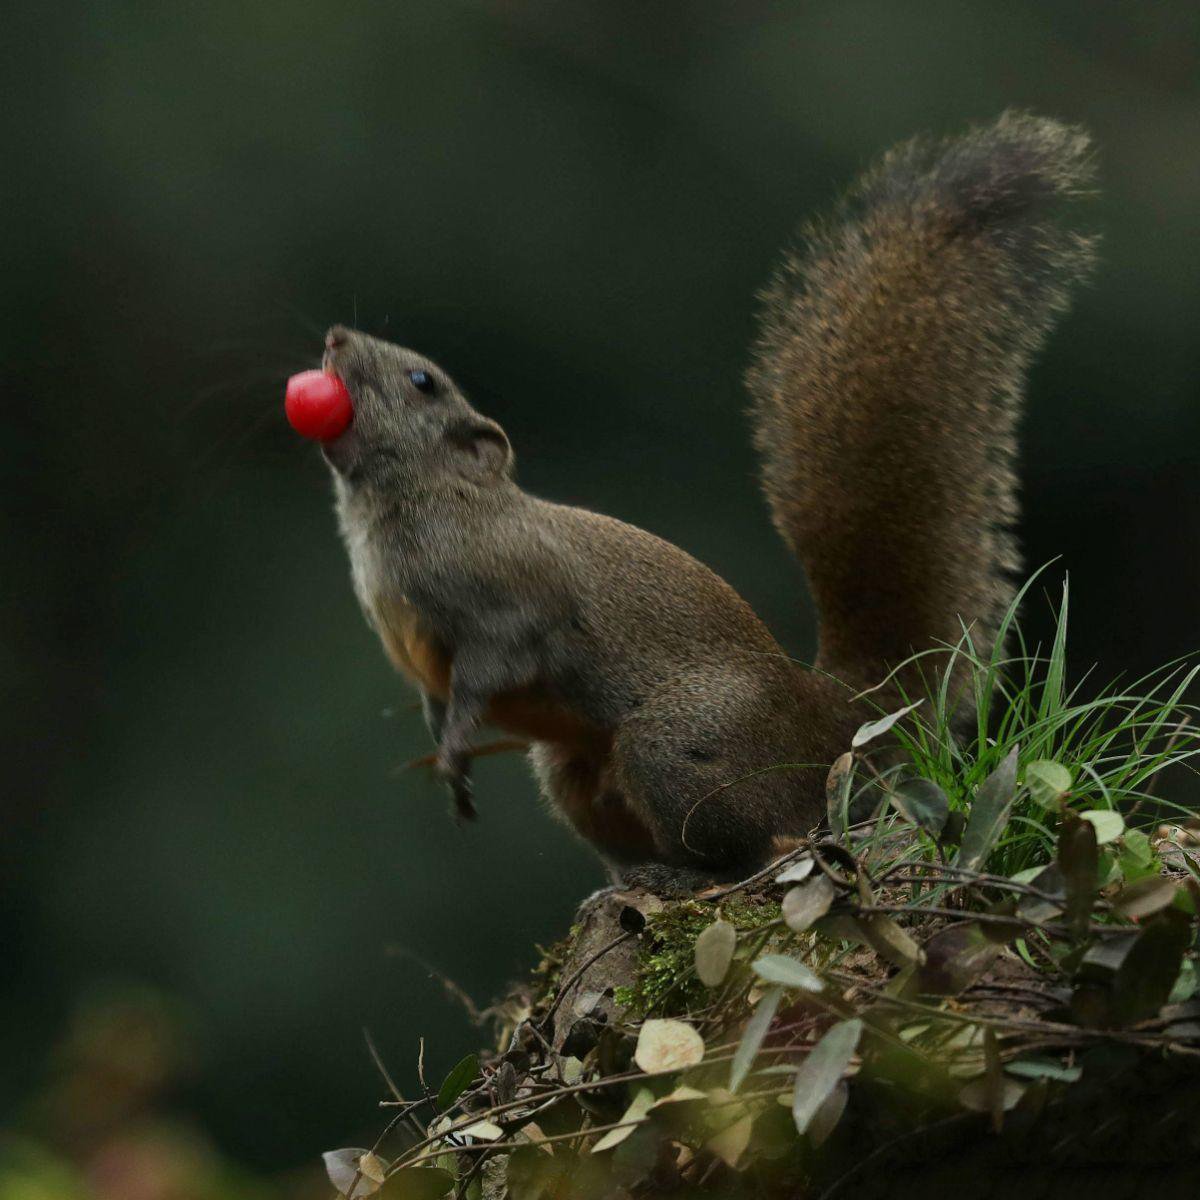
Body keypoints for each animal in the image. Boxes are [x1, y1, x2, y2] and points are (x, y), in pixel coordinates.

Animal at [300, 114, 1099, 892]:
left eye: (422, 382)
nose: (334, 337)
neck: (405, 511)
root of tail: (825, 726)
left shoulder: (508, 598)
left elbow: (491, 667)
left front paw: (459, 746)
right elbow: (436, 703)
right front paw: (447, 761)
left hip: (674, 746)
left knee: (765, 844)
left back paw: (691, 877)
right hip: (570, 772)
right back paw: (631, 879)